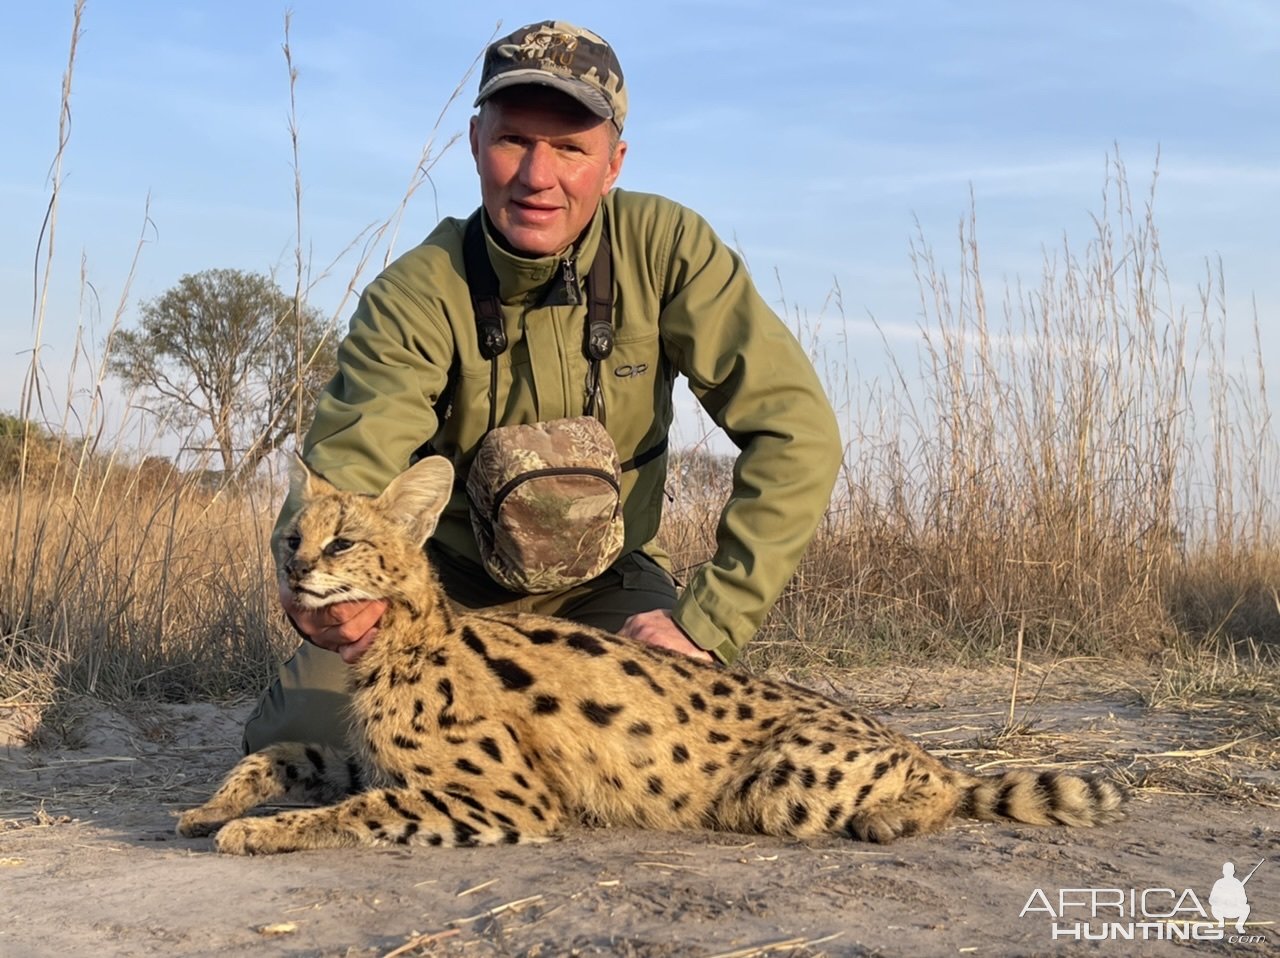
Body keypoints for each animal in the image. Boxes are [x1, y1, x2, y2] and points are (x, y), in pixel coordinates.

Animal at [177, 455, 1121, 855]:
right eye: (289, 537)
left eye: (341, 543)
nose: (295, 570)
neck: (406, 640)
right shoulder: (377, 760)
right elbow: (286, 755)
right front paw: (212, 807)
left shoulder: (509, 798)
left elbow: (355, 809)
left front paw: (258, 833)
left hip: (788, 785)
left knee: (943, 785)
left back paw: (895, 813)